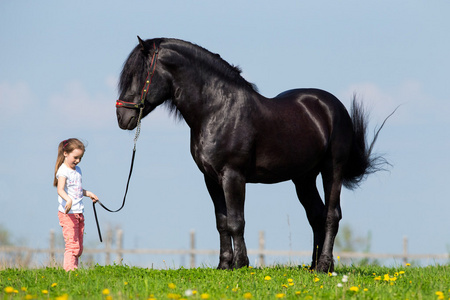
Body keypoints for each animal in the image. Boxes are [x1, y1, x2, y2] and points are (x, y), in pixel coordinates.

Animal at [115, 37, 386, 272]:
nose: (121, 117)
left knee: (331, 215)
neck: (217, 110)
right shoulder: (211, 179)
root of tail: (332, 106)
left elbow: (237, 221)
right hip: (303, 178)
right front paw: (224, 265)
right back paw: (312, 266)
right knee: (316, 215)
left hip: (332, 169)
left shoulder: (233, 176)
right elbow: (222, 222)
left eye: (140, 74)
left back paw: (324, 266)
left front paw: (241, 264)